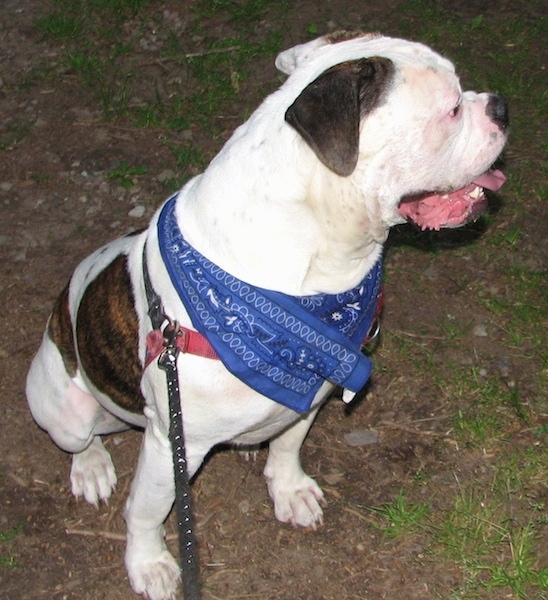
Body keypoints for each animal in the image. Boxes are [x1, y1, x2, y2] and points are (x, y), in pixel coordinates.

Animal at [24, 31, 506, 600]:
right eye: (451, 110)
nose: (500, 104)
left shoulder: (313, 384)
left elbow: (290, 443)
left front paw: (288, 486)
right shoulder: (171, 445)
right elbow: (146, 511)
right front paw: (148, 562)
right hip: (66, 408)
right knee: (80, 438)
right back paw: (92, 466)